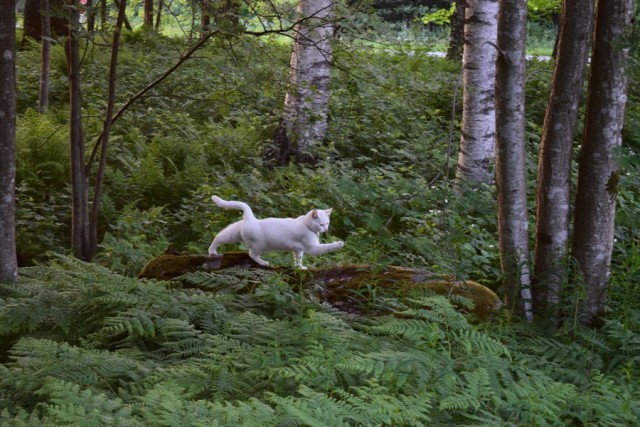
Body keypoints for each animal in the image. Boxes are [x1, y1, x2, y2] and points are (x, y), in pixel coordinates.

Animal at [208, 196, 342, 270]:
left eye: (328, 223)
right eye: (321, 224)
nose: (326, 229)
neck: (306, 224)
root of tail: (251, 218)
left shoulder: (298, 250)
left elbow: (298, 260)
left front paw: (300, 268)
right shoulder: (312, 248)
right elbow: (327, 247)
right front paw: (339, 243)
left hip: (233, 234)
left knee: (218, 237)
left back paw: (212, 251)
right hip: (260, 245)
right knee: (252, 254)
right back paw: (264, 263)